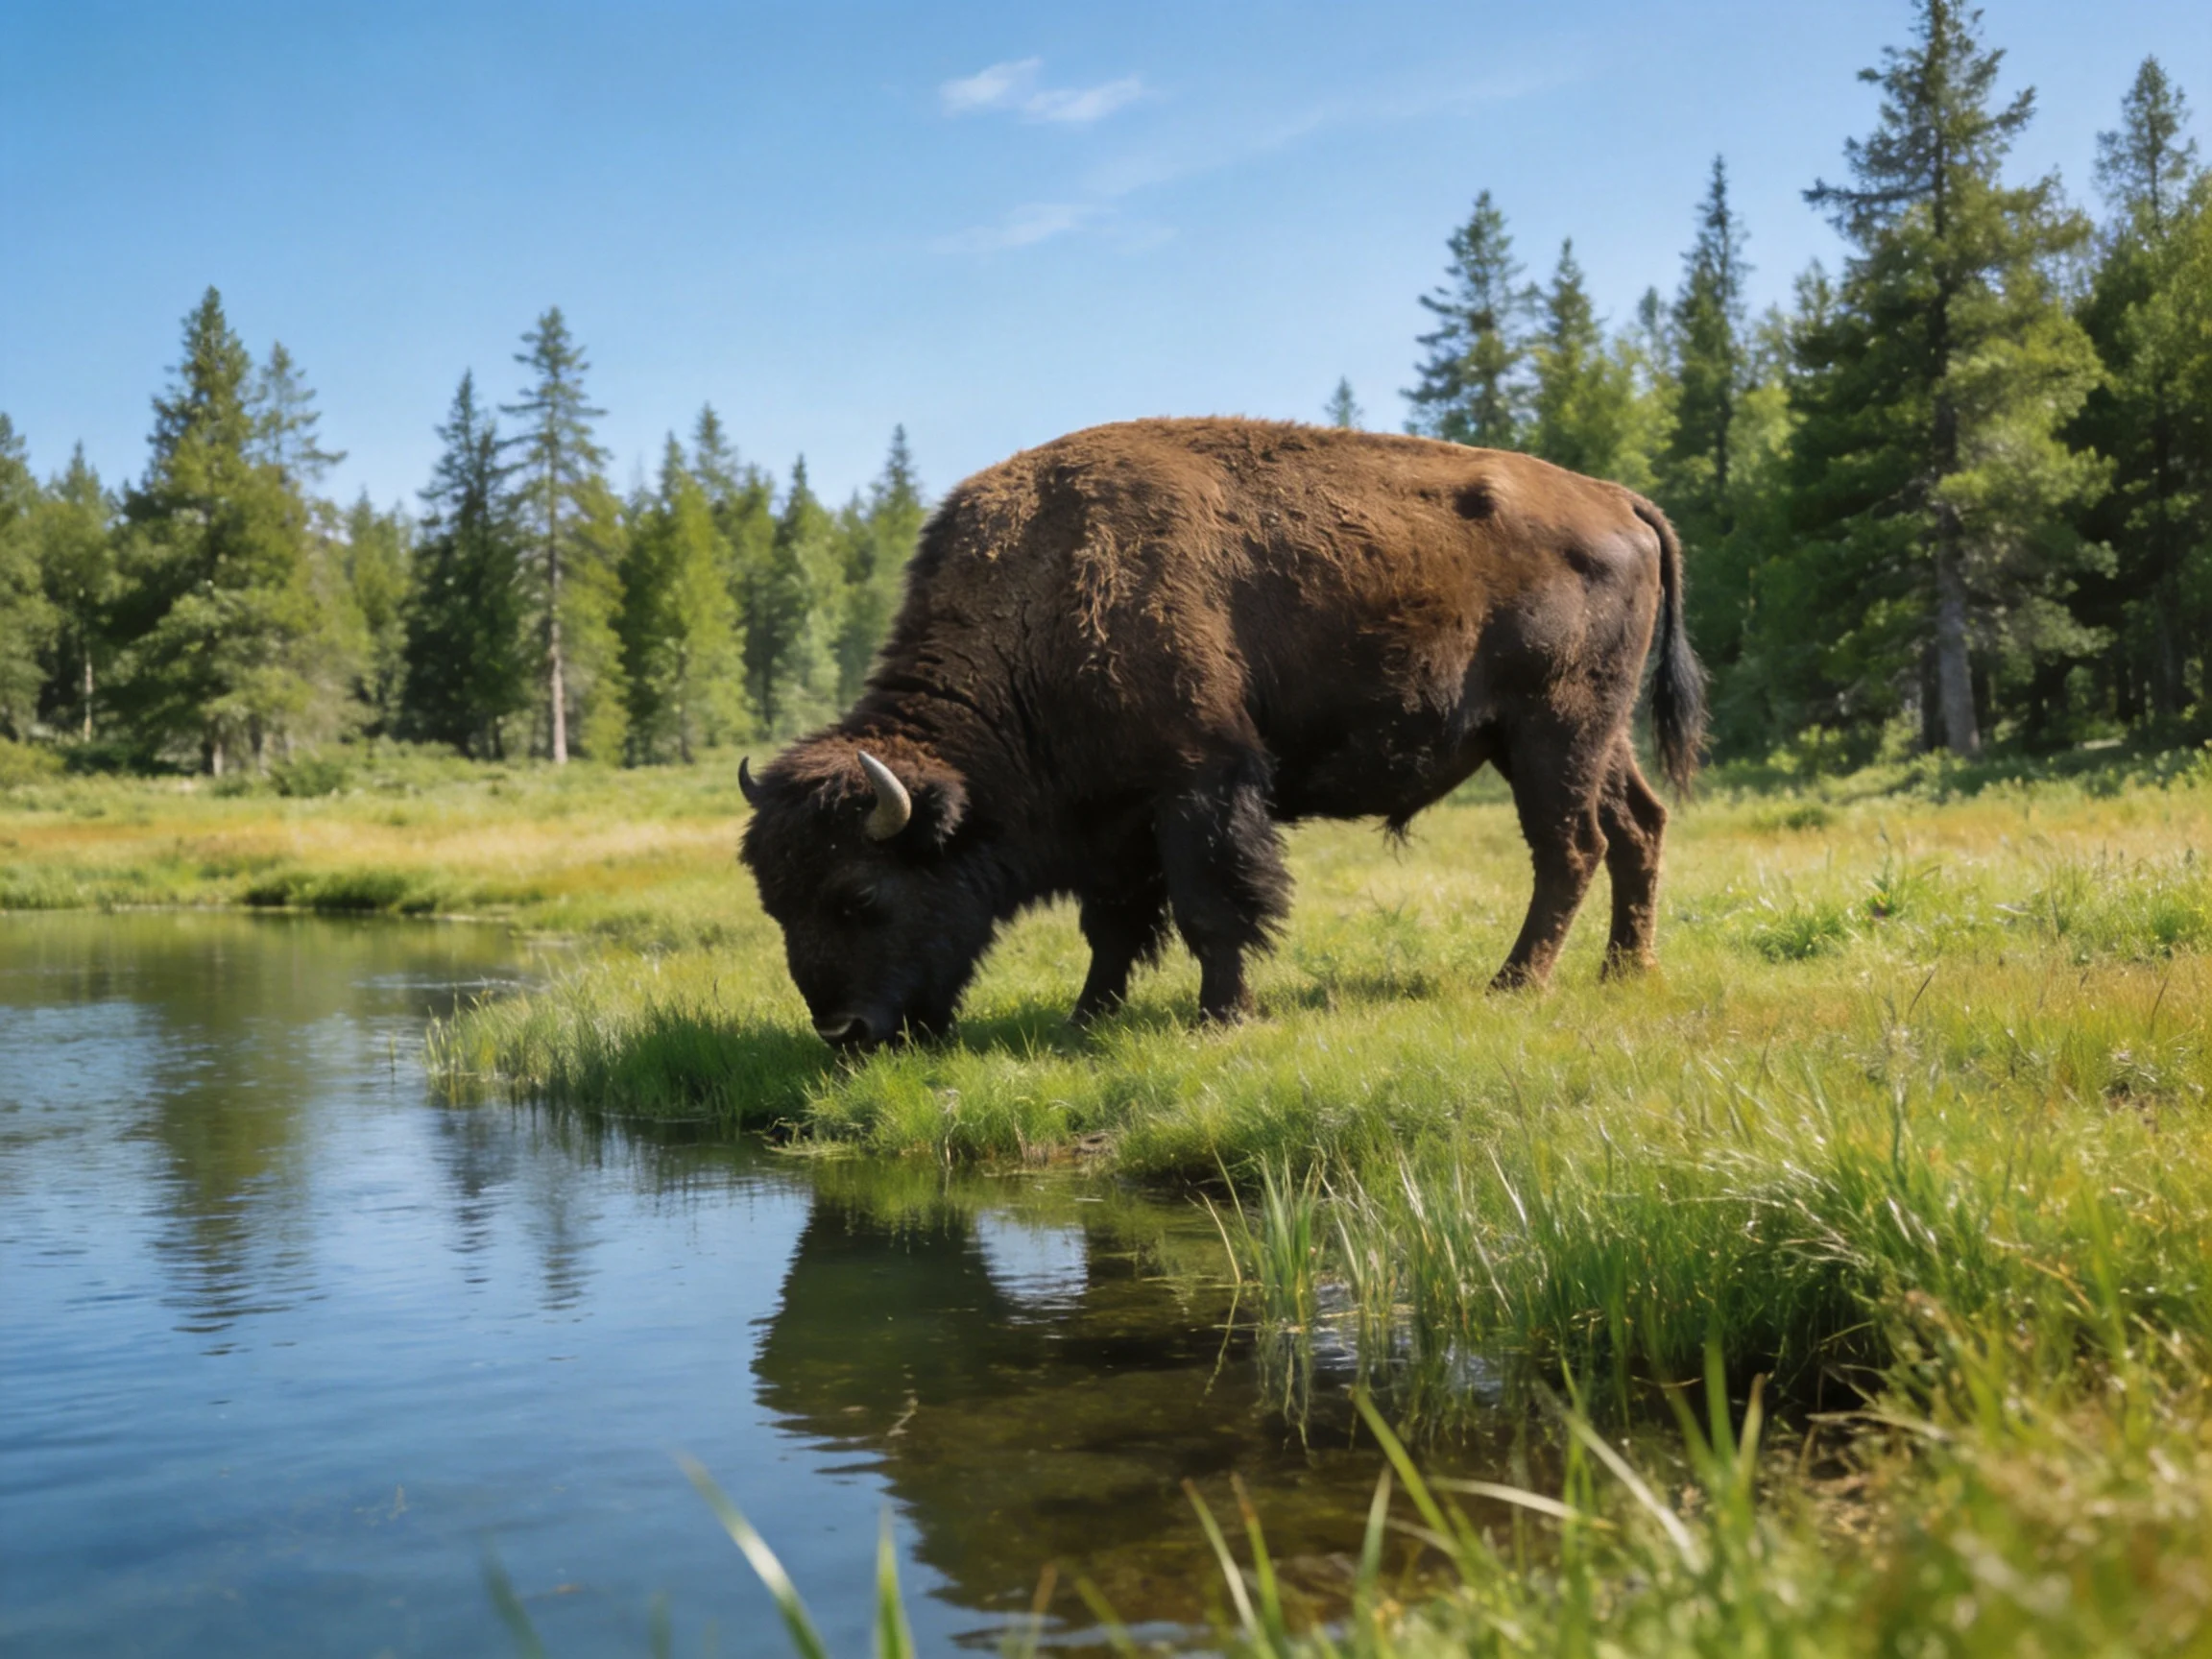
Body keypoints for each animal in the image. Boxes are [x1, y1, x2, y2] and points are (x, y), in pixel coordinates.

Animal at [740, 417, 1704, 1049]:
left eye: (860, 895)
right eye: (775, 901)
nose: (843, 1031)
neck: (1042, 601)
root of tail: (1616, 499)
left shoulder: (1198, 782)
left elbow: (1213, 907)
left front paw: (1219, 1018)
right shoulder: (1117, 818)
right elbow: (1114, 927)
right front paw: (1084, 1020)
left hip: (1552, 730)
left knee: (1570, 847)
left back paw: (1514, 984)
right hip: (1589, 736)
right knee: (1638, 827)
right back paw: (1627, 972)